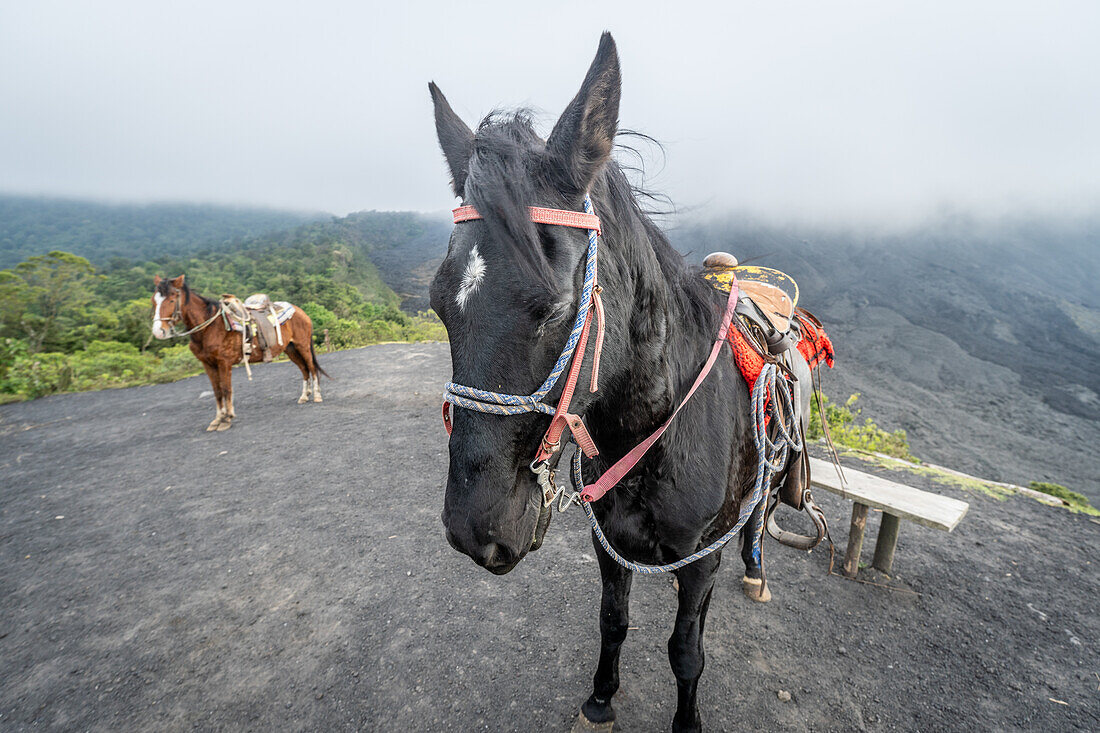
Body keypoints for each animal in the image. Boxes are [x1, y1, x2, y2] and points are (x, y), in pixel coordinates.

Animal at [149, 274, 325, 429]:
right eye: (153, 301)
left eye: (172, 299)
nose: (159, 331)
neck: (210, 328)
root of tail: (300, 311)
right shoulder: (208, 364)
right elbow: (217, 391)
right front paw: (217, 420)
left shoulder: (224, 362)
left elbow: (226, 389)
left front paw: (227, 419)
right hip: (291, 349)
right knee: (304, 370)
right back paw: (304, 396)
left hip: (303, 346)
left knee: (311, 368)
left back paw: (317, 395)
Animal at [433, 31, 814, 726]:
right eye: (438, 305)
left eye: (557, 309)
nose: (475, 533)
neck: (657, 428)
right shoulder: (607, 543)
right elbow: (614, 621)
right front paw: (601, 698)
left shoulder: (699, 562)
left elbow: (686, 652)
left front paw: (686, 719)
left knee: (753, 527)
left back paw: (754, 571)